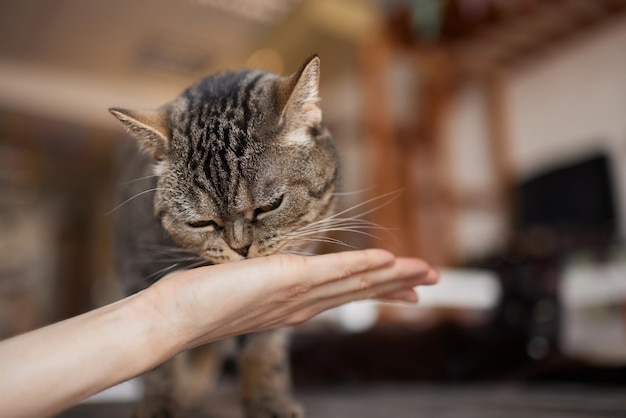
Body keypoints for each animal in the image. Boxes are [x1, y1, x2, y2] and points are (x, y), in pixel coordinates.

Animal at [109, 56, 338, 418]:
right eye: (201, 223)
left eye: (270, 206)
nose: (240, 248)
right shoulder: (138, 269)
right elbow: (162, 364)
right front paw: (161, 403)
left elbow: (263, 348)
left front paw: (268, 400)